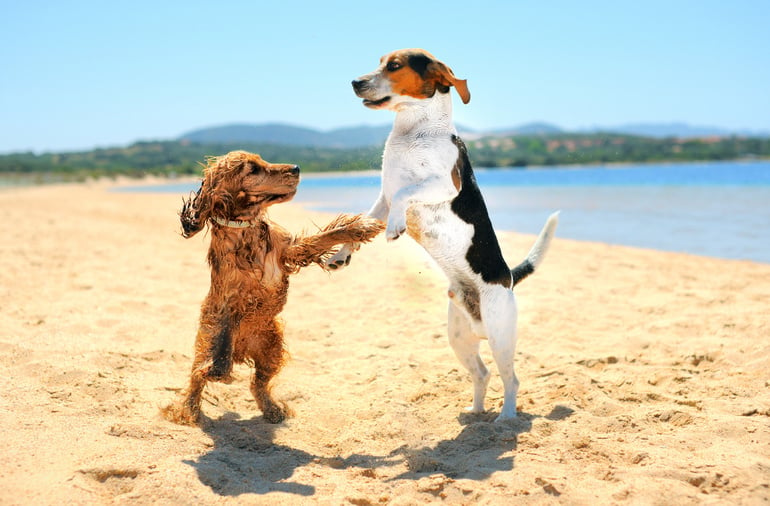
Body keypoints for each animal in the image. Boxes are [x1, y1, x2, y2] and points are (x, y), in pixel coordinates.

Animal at [160, 149, 382, 422]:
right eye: (253, 169)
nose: (297, 168)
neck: (246, 229)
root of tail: (243, 351)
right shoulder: (229, 302)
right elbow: (223, 346)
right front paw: (216, 370)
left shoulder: (290, 251)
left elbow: (325, 237)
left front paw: (360, 227)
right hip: (208, 340)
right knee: (196, 377)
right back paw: (189, 409)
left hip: (272, 350)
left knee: (258, 383)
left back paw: (272, 409)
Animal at [328, 48, 556, 420]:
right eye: (379, 61)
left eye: (394, 66)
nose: (355, 82)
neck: (414, 130)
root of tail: (508, 277)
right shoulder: (382, 199)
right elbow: (358, 229)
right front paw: (340, 254)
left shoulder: (440, 186)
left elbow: (407, 194)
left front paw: (395, 227)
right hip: (459, 338)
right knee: (483, 373)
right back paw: (475, 411)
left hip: (500, 335)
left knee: (511, 379)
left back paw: (505, 418)